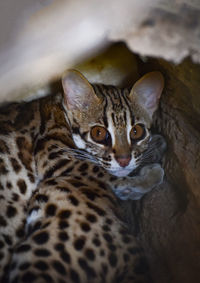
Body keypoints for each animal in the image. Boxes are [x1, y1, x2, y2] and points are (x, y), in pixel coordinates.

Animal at [0, 70, 166, 282]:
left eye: (137, 131)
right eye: (98, 133)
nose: (124, 159)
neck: (61, 109)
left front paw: (154, 146)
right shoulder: (54, 154)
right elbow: (101, 172)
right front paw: (149, 174)